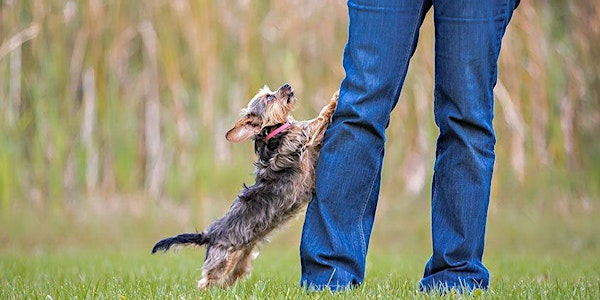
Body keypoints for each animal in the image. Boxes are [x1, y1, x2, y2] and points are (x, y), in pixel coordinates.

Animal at [151, 82, 338, 288]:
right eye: (269, 98)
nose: (287, 85)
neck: (274, 134)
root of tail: (210, 235)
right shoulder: (302, 136)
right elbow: (319, 117)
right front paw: (336, 97)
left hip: (240, 261)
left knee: (225, 280)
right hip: (221, 261)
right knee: (205, 282)